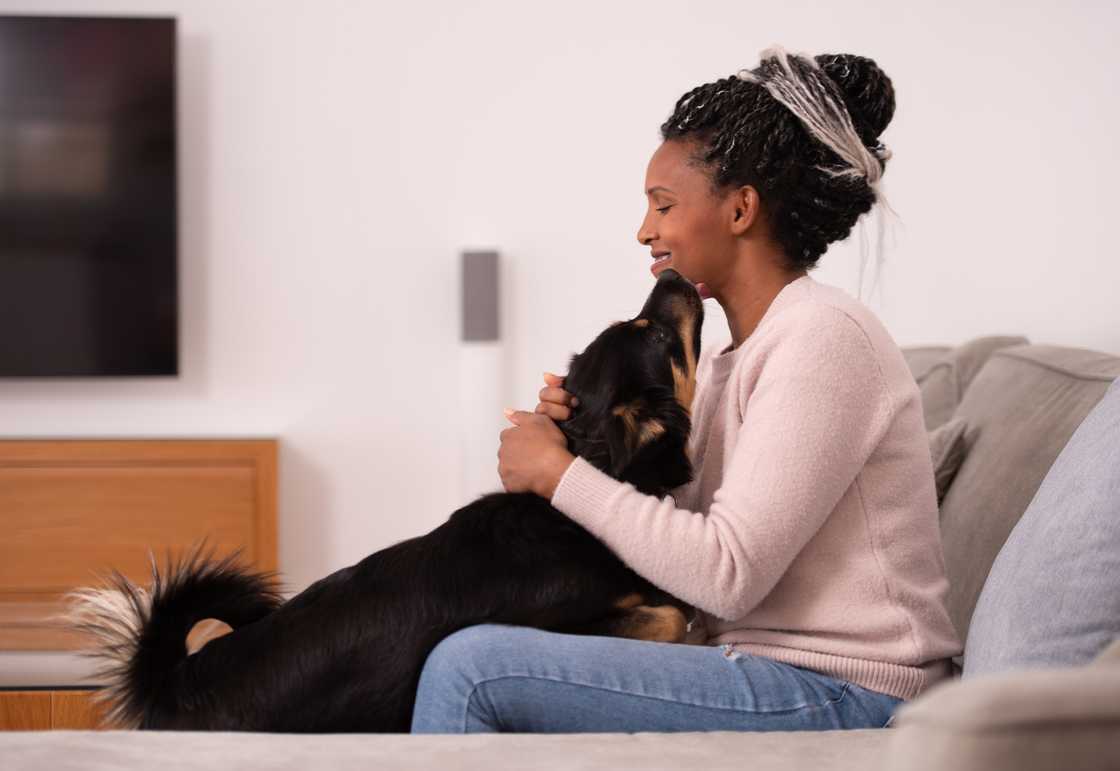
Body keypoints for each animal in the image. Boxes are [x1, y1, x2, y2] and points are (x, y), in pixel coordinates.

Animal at [65, 267, 703, 730]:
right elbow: (671, 615)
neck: (579, 488)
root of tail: (176, 684)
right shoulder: (564, 630)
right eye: (657, 335)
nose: (677, 276)